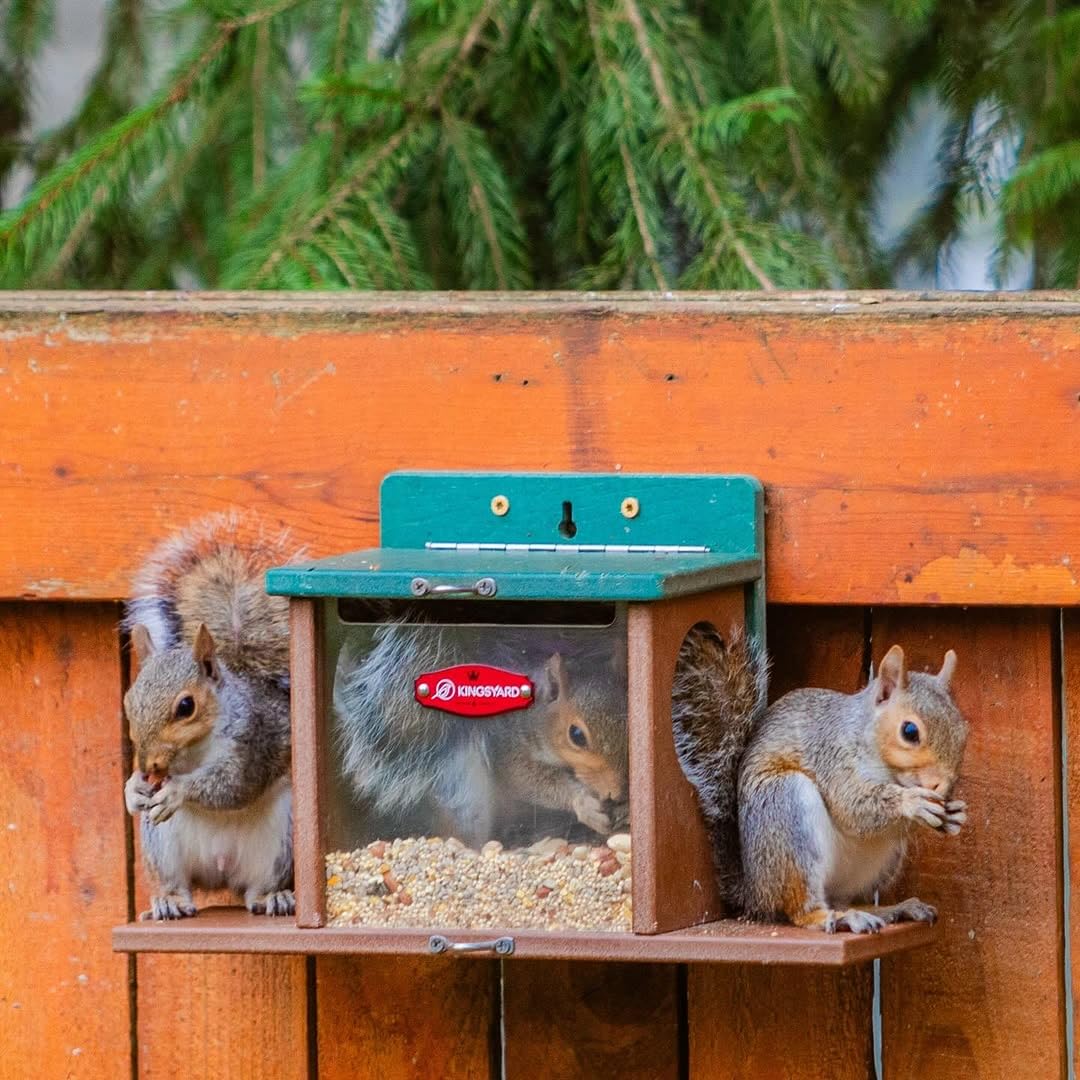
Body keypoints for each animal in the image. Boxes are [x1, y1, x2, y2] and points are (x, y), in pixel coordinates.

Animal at [121, 513, 302, 920]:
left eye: (185, 707)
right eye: (128, 701)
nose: (147, 765)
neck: (192, 752)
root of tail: (221, 871)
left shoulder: (254, 741)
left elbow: (232, 786)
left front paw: (178, 791)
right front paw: (133, 789)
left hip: (282, 839)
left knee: (258, 888)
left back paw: (274, 897)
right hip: (162, 844)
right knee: (178, 884)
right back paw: (169, 902)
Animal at [673, 625, 969, 933]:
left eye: (963, 732)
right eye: (910, 731)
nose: (942, 786)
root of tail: (755, 892)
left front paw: (954, 814)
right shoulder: (832, 756)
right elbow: (853, 806)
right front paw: (911, 802)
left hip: (880, 862)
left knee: (841, 899)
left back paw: (889, 909)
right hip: (787, 809)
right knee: (802, 909)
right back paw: (838, 917)